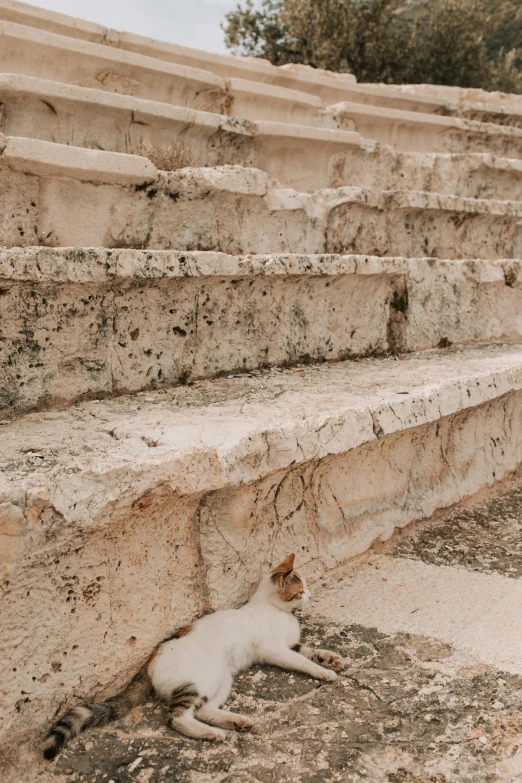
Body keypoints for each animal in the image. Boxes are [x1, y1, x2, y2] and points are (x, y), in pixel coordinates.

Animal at [42, 552, 344, 760]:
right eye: (301, 590)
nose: (311, 596)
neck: (274, 609)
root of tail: (148, 663)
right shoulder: (274, 649)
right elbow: (302, 661)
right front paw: (324, 672)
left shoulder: (290, 644)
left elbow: (310, 650)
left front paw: (330, 658)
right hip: (203, 677)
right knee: (177, 717)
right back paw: (212, 733)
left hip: (221, 677)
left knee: (205, 710)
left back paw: (237, 722)